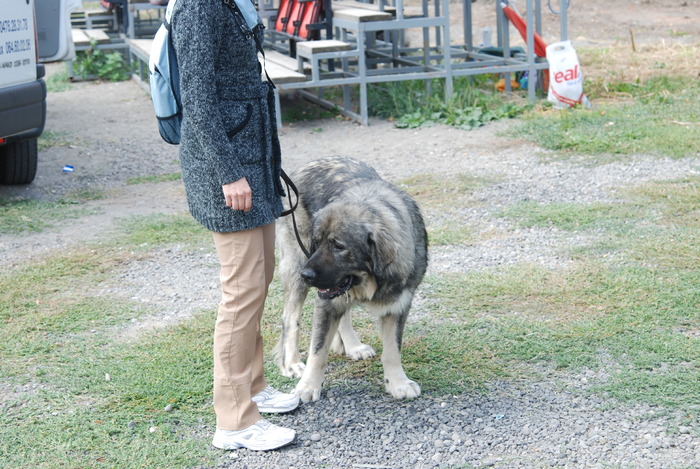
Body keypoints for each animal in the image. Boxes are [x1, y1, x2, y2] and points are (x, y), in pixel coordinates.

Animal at [274, 157, 426, 402]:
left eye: (339, 246)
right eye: (317, 242)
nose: (306, 275)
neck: (370, 281)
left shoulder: (398, 305)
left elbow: (392, 350)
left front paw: (398, 383)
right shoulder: (324, 302)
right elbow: (317, 351)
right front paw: (308, 386)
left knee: (343, 313)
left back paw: (353, 346)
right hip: (297, 264)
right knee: (290, 318)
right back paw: (292, 363)